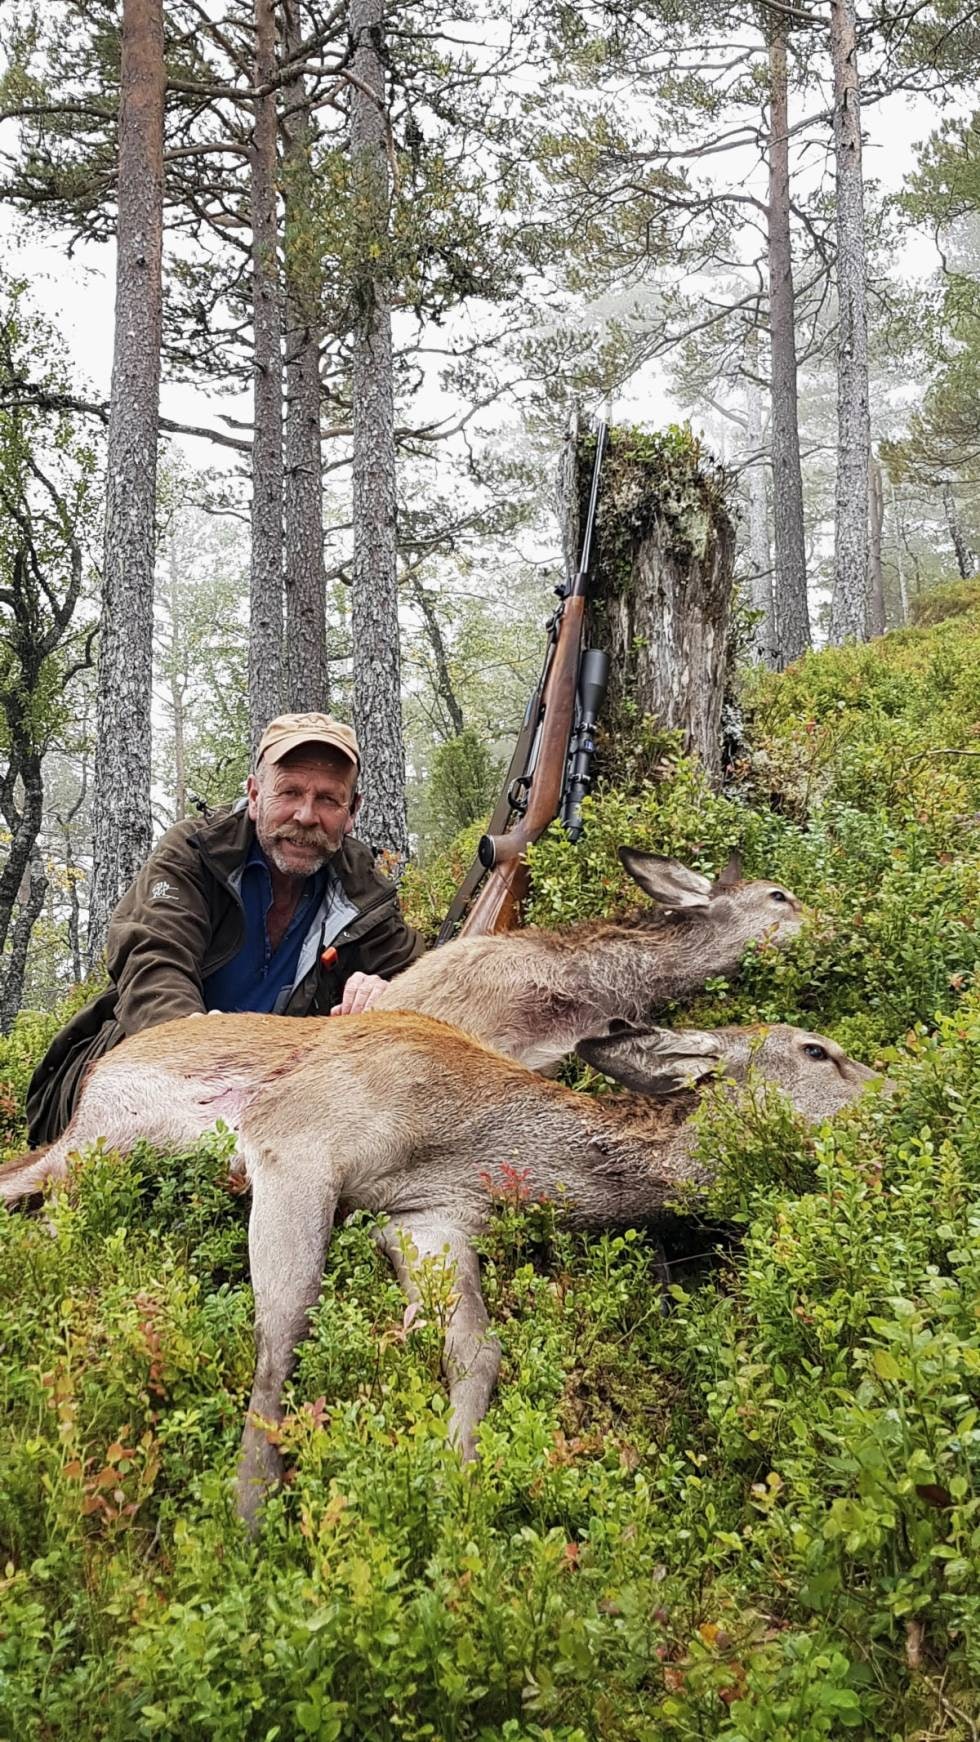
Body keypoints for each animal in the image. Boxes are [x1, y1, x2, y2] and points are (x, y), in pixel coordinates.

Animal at [0, 1010, 880, 1525]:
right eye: (819, 1051)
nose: (902, 1086)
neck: (472, 1142)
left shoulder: (430, 1221)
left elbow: (477, 1349)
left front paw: (451, 1477)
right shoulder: (297, 1138)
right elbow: (286, 1321)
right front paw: (251, 1506)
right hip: (98, 1139)